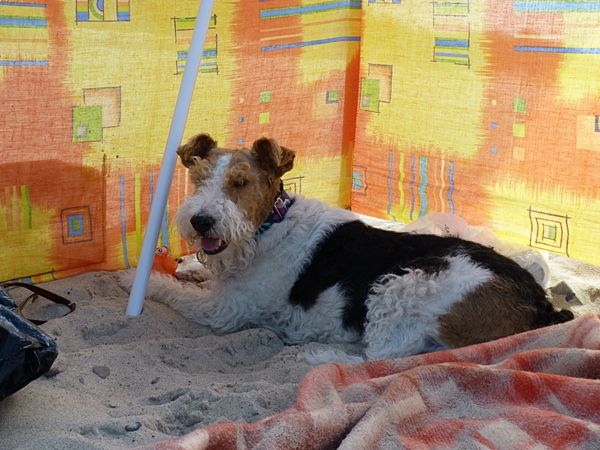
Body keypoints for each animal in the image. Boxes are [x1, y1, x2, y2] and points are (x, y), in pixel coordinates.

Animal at [137, 133, 573, 361]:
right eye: (198, 179)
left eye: (240, 182)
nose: (200, 221)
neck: (268, 226)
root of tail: (541, 304)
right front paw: (187, 266)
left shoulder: (225, 311)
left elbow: (172, 293)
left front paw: (139, 281)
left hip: (405, 285)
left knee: (378, 356)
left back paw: (314, 354)